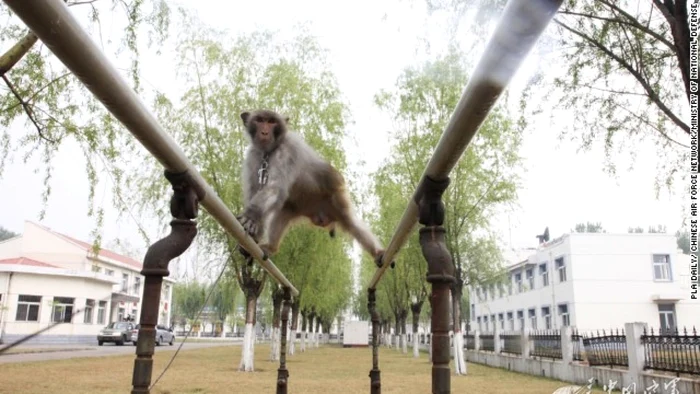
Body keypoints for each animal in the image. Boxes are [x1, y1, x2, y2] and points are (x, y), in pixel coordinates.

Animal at [239, 109, 386, 262]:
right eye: (260, 120)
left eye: (271, 121)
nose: (264, 132)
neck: (269, 152)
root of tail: (321, 216)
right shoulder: (253, 155)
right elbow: (255, 190)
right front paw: (255, 234)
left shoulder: (287, 151)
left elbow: (275, 188)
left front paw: (251, 216)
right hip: (300, 207)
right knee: (283, 212)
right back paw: (271, 247)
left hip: (336, 198)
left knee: (351, 223)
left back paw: (377, 251)